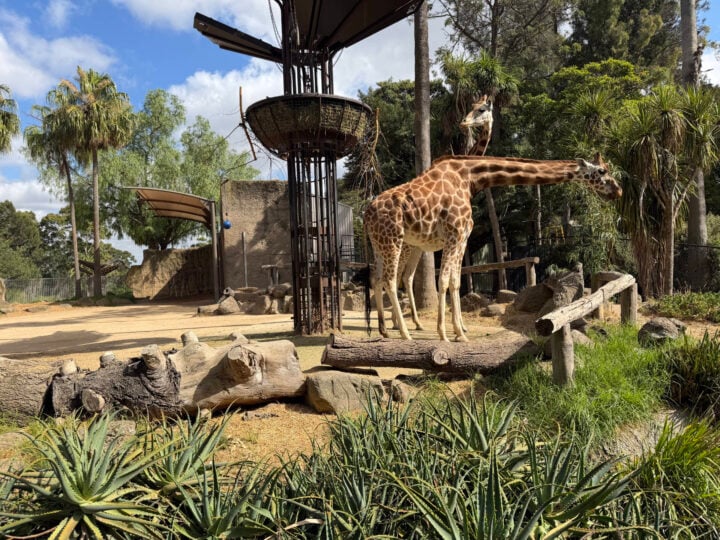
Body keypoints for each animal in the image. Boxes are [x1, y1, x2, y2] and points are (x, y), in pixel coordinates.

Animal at [364, 154, 622, 342]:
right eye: (602, 171)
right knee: (391, 280)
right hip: (395, 241)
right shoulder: (456, 234)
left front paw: (459, 332)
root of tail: (366, 214)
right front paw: (445, 334)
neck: (470, 178)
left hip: (381, 244)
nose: (618, 191)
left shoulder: (461, 237)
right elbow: (445, 281)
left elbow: (455, 282)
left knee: (379, 278)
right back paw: (405, 332)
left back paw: (384, 329)